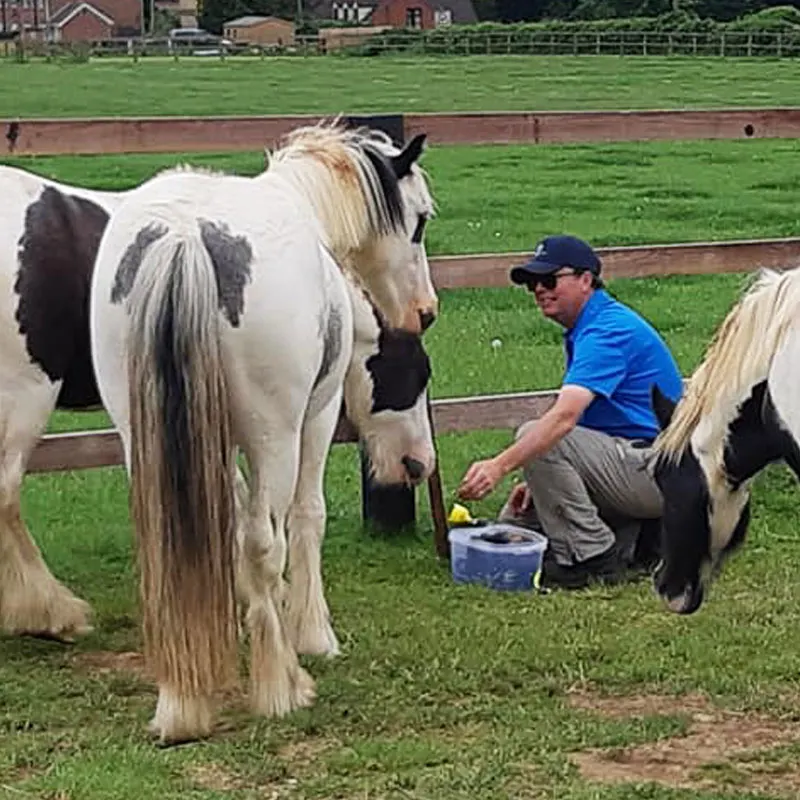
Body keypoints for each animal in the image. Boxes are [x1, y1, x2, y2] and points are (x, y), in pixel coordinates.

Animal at [88, 121, 439, 743]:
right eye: (419, 219)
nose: (426, 311)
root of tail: (185, 237)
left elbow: (224, 531)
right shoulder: (314, 420)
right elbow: (302, 520)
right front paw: (311, 633)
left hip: (141, 436)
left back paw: (182, 700)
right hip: (275, 437)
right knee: (263, 541)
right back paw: (282, 684)